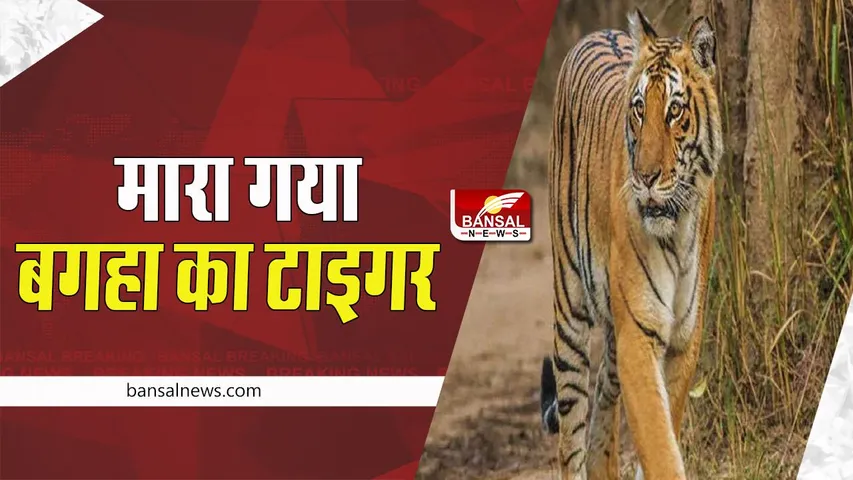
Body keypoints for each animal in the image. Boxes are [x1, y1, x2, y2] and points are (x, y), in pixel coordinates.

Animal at [538, 9, 721, 480]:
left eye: (674, 111)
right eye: (639, 109)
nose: (646, 177)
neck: (676, 229)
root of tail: (597, 32)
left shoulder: (684, 337)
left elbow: (664, 423)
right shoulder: (639, 333)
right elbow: (658, 441)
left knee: (605, 392)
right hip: (569, 311)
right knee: (571, 432)